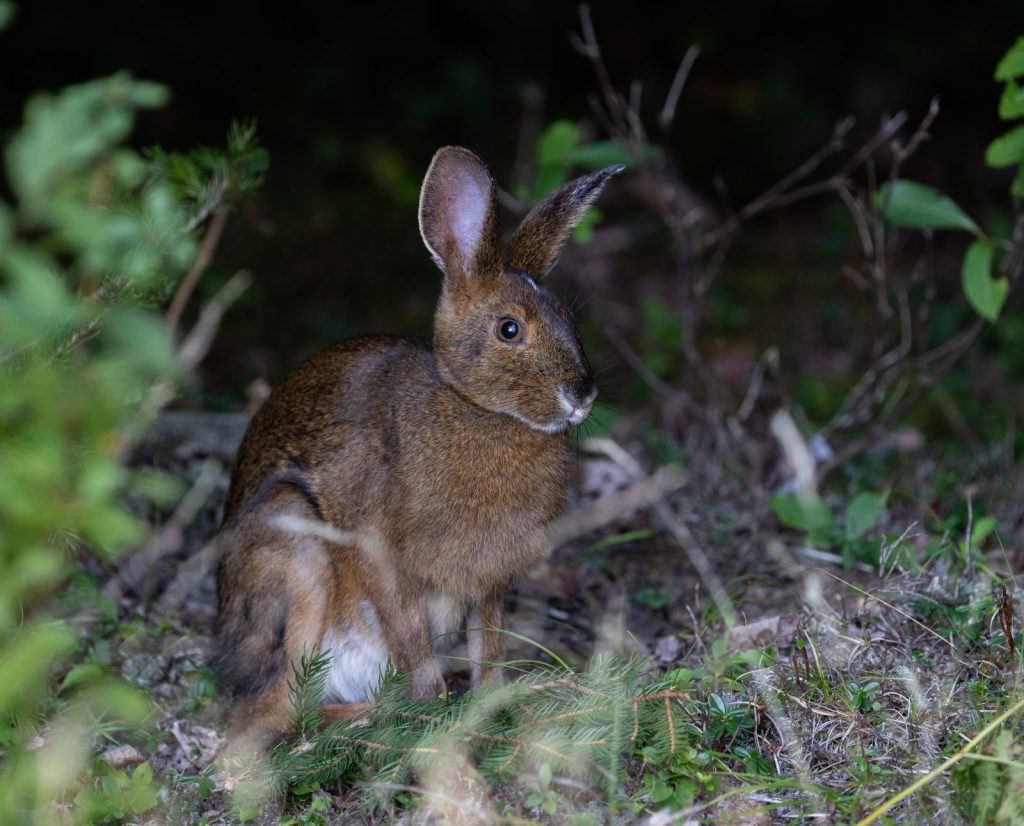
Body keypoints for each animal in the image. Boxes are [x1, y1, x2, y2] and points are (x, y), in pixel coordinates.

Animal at [213, 146, 622, 751]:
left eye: (570, 320)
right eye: (509, 329)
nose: (582, 395)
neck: (476, 408)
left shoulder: (489, 580)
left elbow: (488, 645)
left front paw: (489, 703)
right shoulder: (383, 560)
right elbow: (411, 638)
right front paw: (435, 709)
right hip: (295, 553)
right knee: (280, 712)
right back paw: (378, 717)